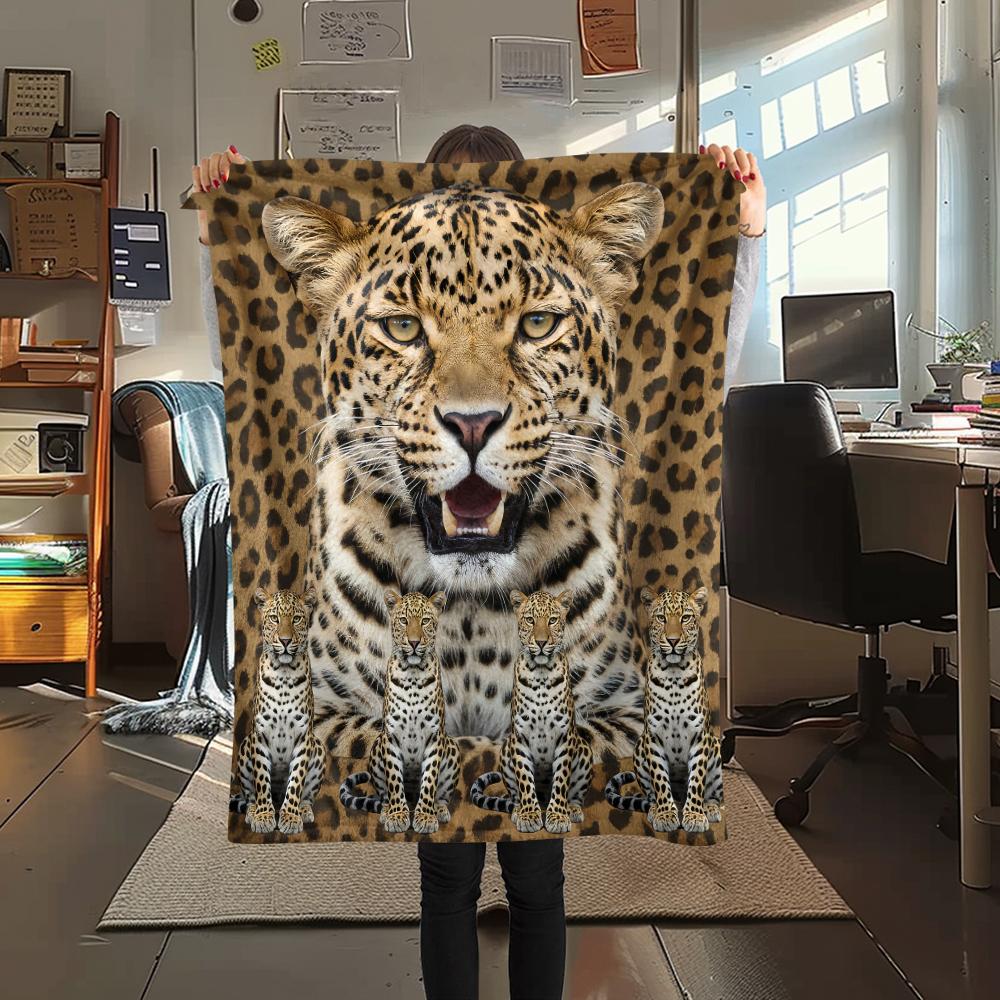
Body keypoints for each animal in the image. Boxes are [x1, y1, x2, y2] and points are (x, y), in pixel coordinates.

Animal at [234, 588, 326, 835]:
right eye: (275, 618)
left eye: (296, 619)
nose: (285, 640)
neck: (284, 675)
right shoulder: (260, 735)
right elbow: (261, 780)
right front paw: (264, 816)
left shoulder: (304, 737)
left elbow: (296, 782)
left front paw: (290, 817)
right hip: (245, 746)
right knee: (248, 796)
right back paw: (253, 811)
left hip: (319, 747)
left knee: (308, 795)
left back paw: (304, 811)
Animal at [340, 590, 460, 833]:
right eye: (403, 620)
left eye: (425, 621)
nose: (414, 642)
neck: (412, 674)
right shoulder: (391, 736)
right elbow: (394, 779)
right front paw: (397, 816)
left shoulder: (434, 737)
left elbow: (430, 780)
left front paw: (425, 816)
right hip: (377, 746)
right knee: (384, 794)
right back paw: (388, 810)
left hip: (451, 746)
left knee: (442, 794)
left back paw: (439, 809)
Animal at [470, 589, 593, 834]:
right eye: (530, 620)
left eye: (552, 620)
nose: (542, 642)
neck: (541, 675)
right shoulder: (520, 737)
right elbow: (525, 780)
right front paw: (529, 816)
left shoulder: (565, 736)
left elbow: (561, 779)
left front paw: (558, 816)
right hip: (505, 751)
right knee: (514, 794)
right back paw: (519, 810)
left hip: (584, 750)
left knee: (576, 794)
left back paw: (572, 809)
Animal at [605, 585, 723, 834]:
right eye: (661, 618)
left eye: (685, 617)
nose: (673, 640)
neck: (674, 675)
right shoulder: (654, 737)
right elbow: (660, 779)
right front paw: (666, 814)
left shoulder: (700, 736)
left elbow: (697, 779)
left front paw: (694, 815)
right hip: (639, 747)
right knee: (650, 795)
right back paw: (654, 809)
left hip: (715, 746)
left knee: (713, 793)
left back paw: (709, 808)